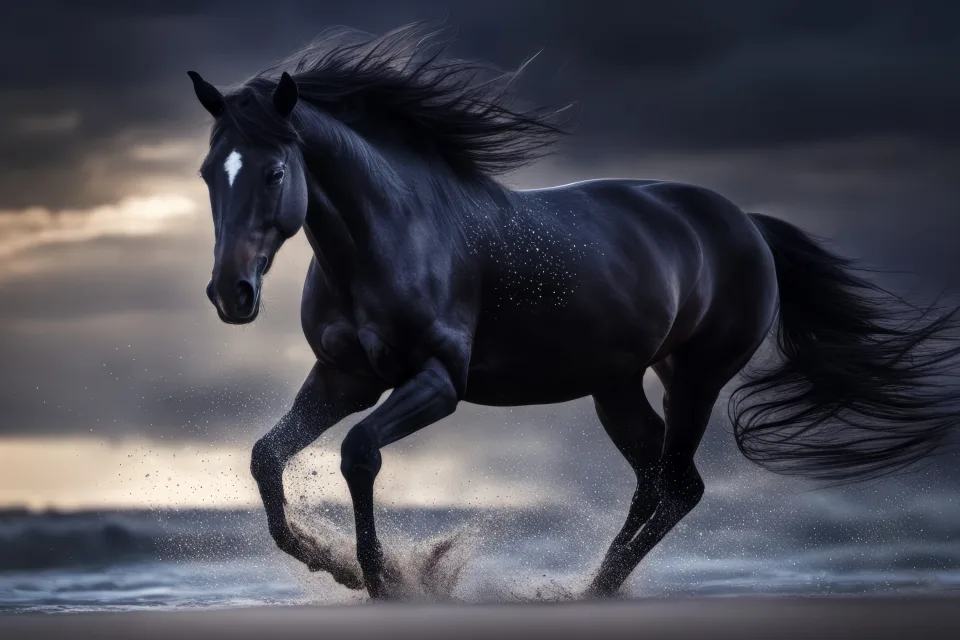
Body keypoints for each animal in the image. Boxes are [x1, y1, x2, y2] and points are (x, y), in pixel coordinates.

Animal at [186, 23, 960, 599]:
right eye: (208, 172)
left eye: (274, 171)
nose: (231, 295)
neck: (393, 235)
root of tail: (747, 224)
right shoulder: (345, 377)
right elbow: (266, 456)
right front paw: (335, 566)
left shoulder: (438, 381)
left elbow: (358, 452)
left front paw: (384, 580)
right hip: (615, 386)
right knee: (659, 484)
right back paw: (590, 590)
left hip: (695, 379)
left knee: (677, 485)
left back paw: (591, 592)